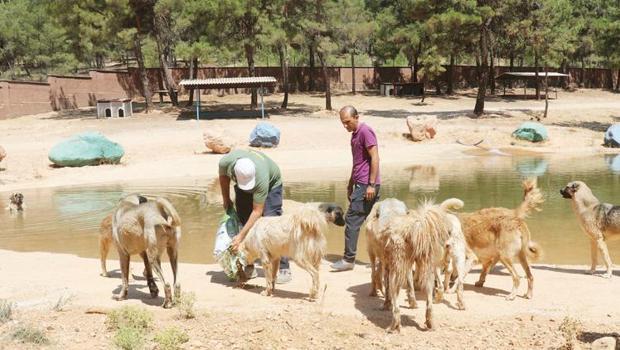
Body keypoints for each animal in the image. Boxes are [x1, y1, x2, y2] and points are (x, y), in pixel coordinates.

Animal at [380, 198, 462, 332]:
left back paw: (393, 325)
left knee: (396, 306)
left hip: (396, 272)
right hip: (428, 268)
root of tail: (416, 225)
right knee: (430, 298)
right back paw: (430, 322)